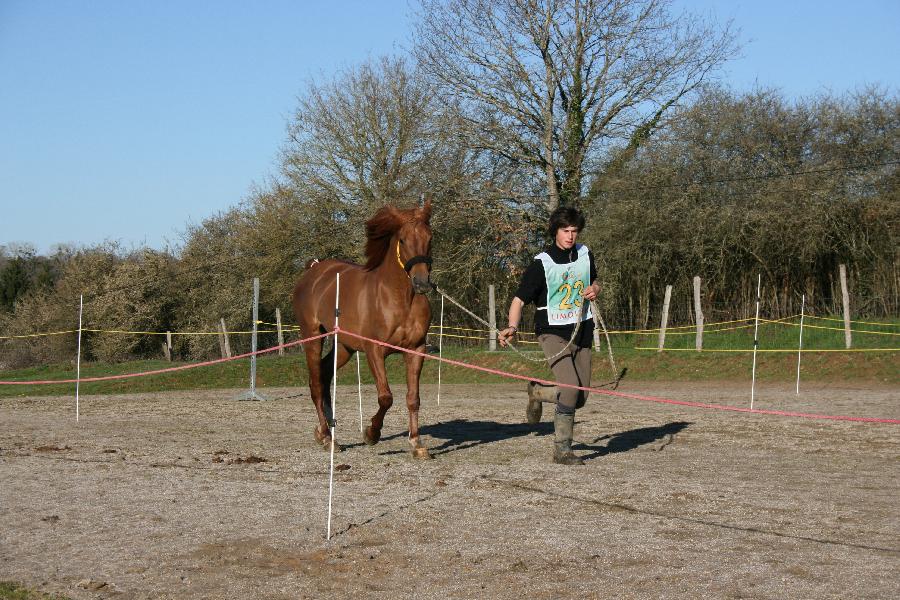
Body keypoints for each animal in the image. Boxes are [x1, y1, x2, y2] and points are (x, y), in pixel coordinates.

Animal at [290, 199, 434, 458]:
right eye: (402, 240)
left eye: (430, 238)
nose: (422, 283)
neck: (399, 299)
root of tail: (313, 271)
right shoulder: (374, 351)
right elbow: (386, 397)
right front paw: (371, 434)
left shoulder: (416, 350)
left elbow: (413, 398)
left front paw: (417, 444)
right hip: (313, 337)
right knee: (316, 384)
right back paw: (326, 438)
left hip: (344, 347)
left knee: (324, 375)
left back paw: (327, 433)